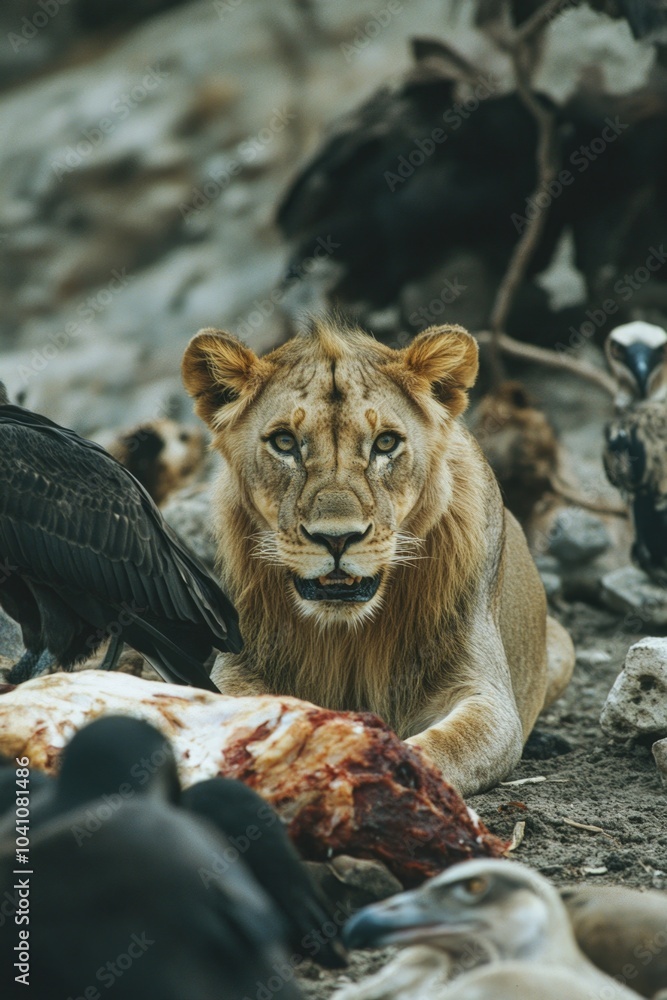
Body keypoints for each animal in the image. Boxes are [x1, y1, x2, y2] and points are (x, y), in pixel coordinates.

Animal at [181, 318, 575, 796]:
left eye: (385, 443)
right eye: (285, 442)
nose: (337, 539)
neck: (348, 632)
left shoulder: (488, 697)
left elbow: (444, 746)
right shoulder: (239, 667)